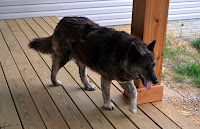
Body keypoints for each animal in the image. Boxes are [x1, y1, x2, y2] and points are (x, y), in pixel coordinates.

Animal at [28, 16, 159, 112]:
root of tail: (63, 20)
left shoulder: (123, 79)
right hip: (63, 57)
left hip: (83, 59)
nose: (156, 81)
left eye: (154, 65)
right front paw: (107, 104)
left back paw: (87, 85)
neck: (124, 52)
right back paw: (54, 81)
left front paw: (132, 107)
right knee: (54, 68)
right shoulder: (106, 78)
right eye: (144, 66)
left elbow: (134, 91)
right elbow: (106, 92)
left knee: (82, 74)